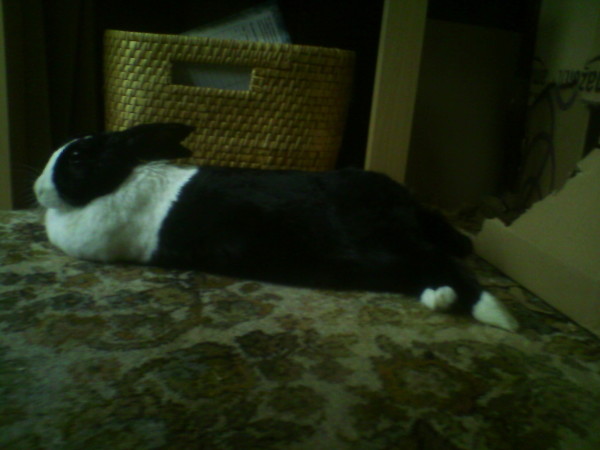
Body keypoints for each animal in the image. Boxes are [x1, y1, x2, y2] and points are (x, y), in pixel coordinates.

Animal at [35, 123, 516, 330]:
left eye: (74, 159)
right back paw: (443, 295)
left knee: (440, 264)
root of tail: (398, 204)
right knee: (445, 255)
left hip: (374, 250)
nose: (38, 190)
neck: (116, 179)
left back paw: (494, 314)